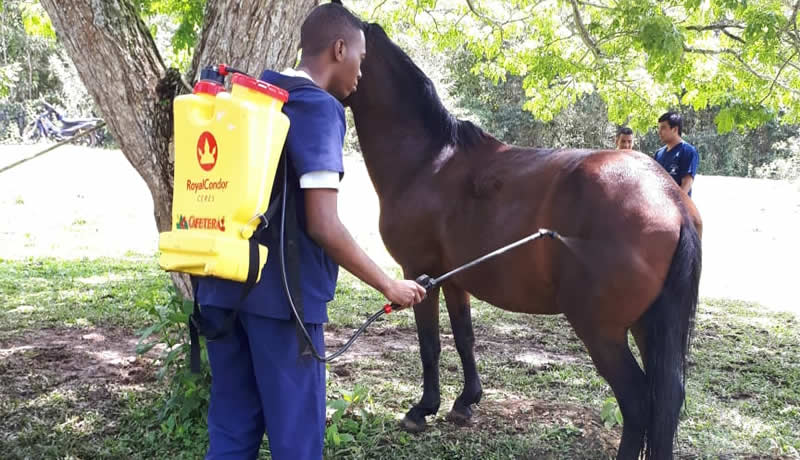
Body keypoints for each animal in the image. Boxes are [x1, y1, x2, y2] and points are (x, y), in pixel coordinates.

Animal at [342, 21, 700, 460]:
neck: (430, 161)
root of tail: (670, 198)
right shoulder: (454, 279)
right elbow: (464, 338)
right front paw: (465, 403)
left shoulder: (419, 273)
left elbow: (429, 344)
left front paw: (422, 409)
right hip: (649, 325)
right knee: (665, 400)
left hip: (603, 331)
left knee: (636, 402)